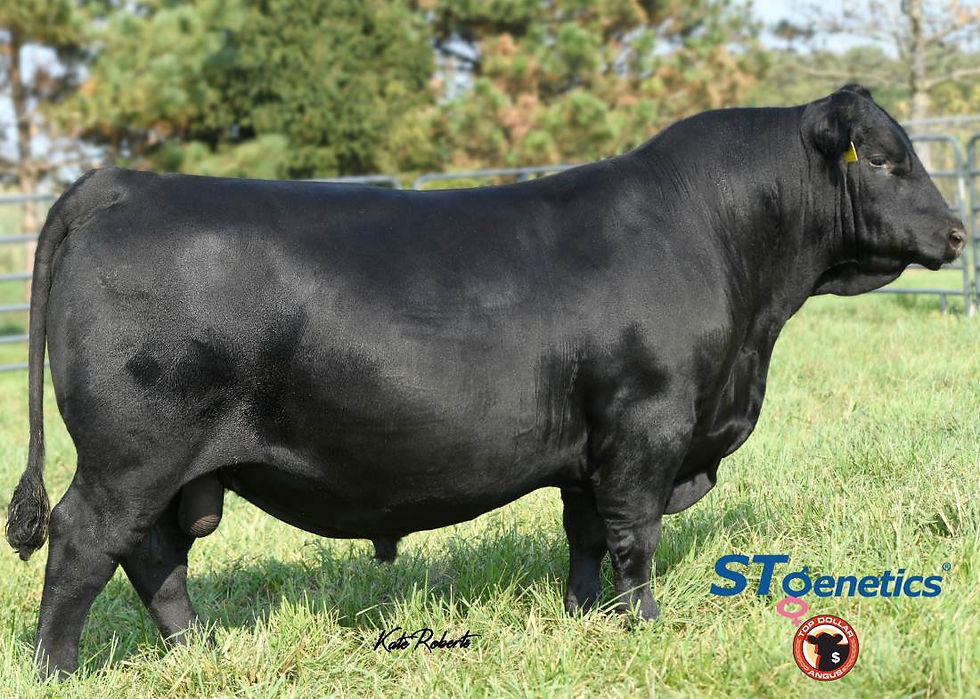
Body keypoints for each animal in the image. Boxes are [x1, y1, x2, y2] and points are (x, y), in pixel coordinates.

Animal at [5, 85, 964, 679]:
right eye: (885, 159)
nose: (957, 233)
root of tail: (120, 184)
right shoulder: (648, 421)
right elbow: (636, 536)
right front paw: (646, 628)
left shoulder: (594, 444)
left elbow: (587, 535)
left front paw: (584, 620)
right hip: (134, 449)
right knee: (87, 540)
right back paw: (59, 670)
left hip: (164, 463)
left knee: (154, 554)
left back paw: (202, 654)